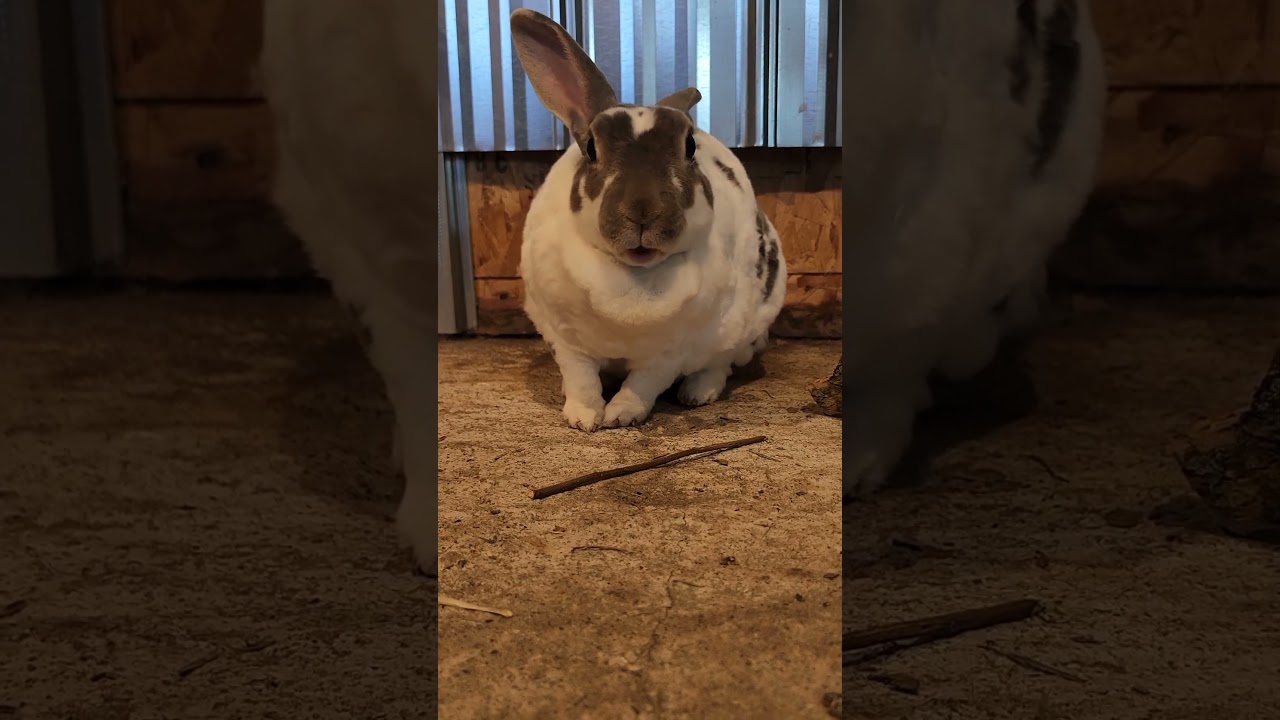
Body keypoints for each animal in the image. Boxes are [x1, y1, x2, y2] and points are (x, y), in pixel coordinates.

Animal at [508, 9, 788, 432]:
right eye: (591, 148)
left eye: (689, 146)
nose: (642, 212)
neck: (635, 275)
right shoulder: (566, 341)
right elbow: (581, 377)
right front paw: (583, 417)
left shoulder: (669, 354)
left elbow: (643, 383)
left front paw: (622, 414)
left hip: (740, 330)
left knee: (720, 365)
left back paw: (697, 393)